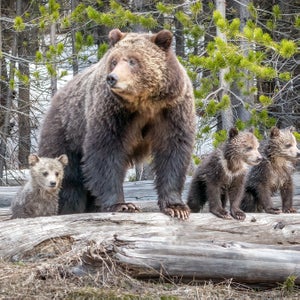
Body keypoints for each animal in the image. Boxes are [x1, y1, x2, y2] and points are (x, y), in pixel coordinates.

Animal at [37, 29, 196, 219]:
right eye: (114, 61)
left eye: (133, 60)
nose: (112, 78)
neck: (144, 103)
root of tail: (56, 99)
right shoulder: (113, 114)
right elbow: (106, 153)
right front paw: (123, 205)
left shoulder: (171, 111)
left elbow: (173, 152)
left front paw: (176, 207)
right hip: (67, 134)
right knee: (68, 180)